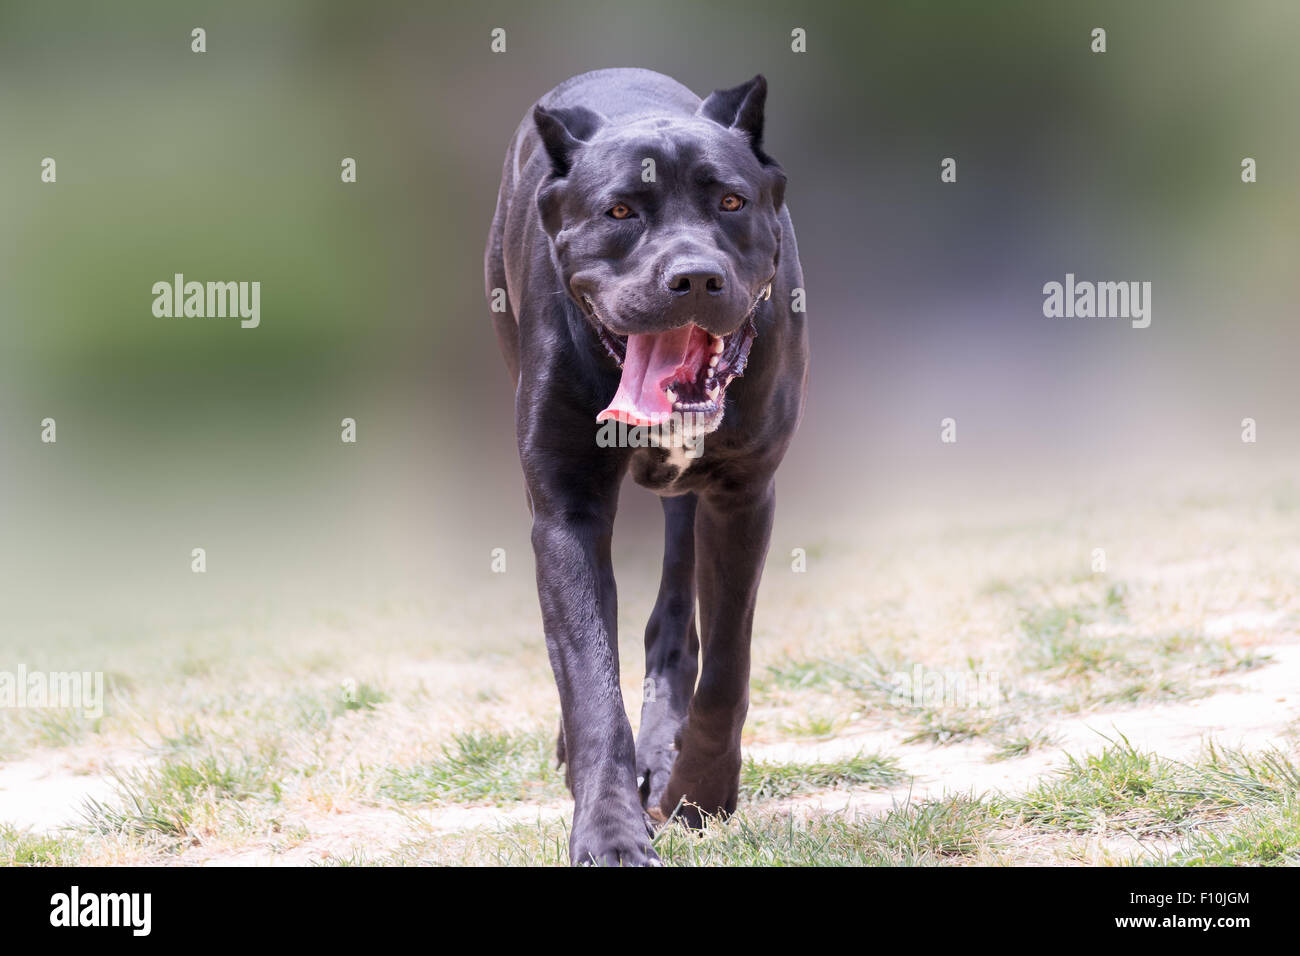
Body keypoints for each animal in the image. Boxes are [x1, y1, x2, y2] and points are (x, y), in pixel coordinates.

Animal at [483, 65, 806, 858]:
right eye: (621, 211)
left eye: (731, 201)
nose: (693, 277)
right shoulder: (565, 511)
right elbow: (590, 680)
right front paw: (609, 831)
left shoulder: (743, 493)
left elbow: (727, 662)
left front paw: (702, 791)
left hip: (693, 503)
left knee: (675, 623)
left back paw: (665, 757)